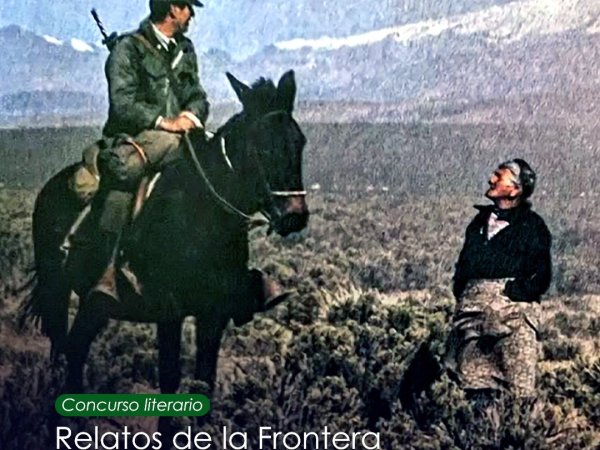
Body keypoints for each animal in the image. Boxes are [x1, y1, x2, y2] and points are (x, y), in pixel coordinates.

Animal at [23, 70, 309, 402]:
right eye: (260, 147)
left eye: (300, 142)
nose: (295, 216)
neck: (203, 216)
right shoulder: (169, 312)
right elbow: (170, 380)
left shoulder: (214, 315)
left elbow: (204, 382)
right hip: (57, 286)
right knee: (63, 345)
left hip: (94, 303)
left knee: (76, 347)